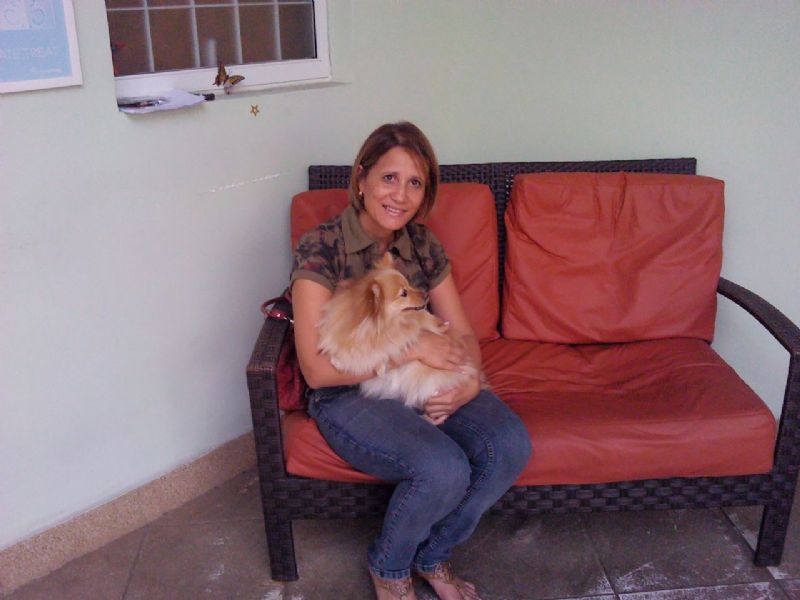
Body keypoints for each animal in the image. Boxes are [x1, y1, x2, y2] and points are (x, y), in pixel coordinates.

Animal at [317, 252, 477, 411]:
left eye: (409, 284)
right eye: (404, 293)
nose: (426, 295)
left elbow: (383, 350)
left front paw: (378, 365)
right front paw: (339, 361)